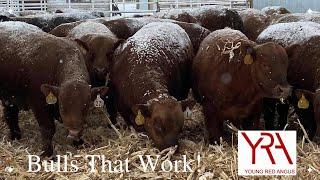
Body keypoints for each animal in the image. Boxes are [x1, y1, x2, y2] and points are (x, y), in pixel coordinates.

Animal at [0, 21, 107, 158]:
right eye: (62, 106)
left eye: (86, 106)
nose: (73, 131)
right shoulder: (38, 103)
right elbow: (48, 129)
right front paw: (47, 153)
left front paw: (79, 143)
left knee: (10, 113)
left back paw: (16, 136)